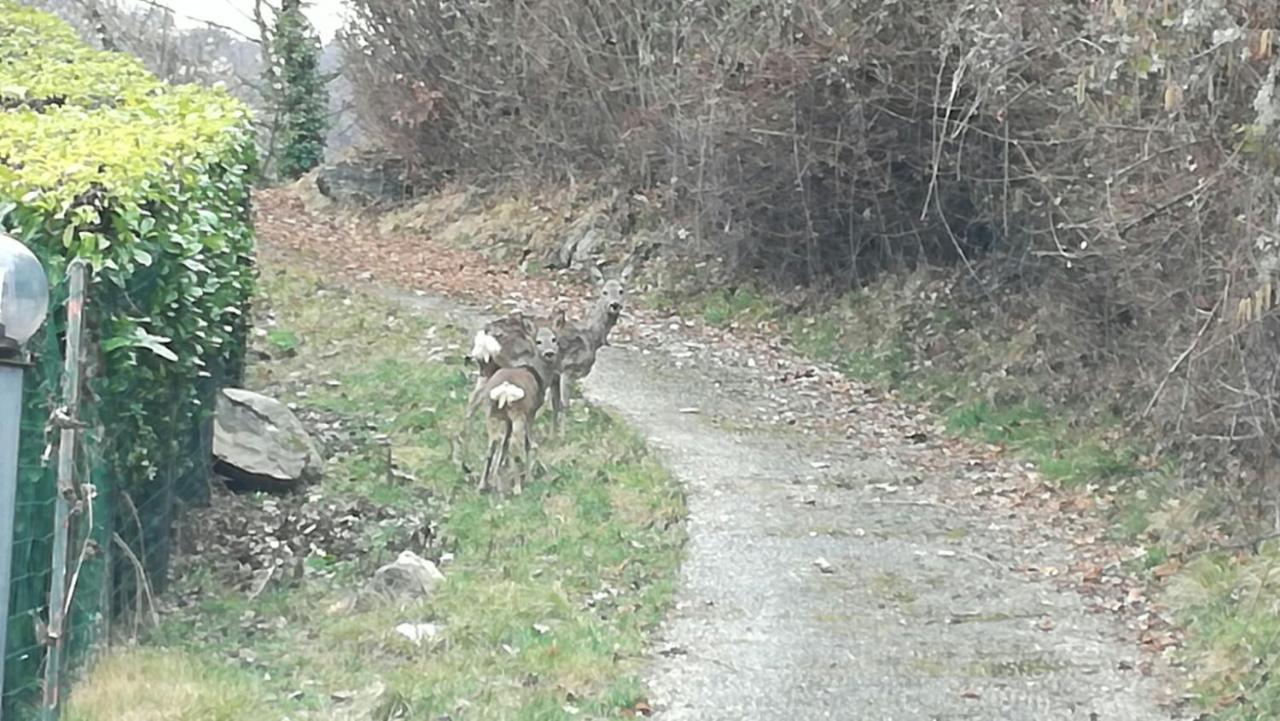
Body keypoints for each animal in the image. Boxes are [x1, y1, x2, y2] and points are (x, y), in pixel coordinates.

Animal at [478, 324, 558, 494]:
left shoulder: (508, 421)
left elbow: (504, 444)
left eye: (554, 339)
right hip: (518, 412)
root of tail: (504, 391)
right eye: (538, 341)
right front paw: (528, 477)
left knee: (492, 445)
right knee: (515, 443)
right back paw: (517, 487)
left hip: (491, 412)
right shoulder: (531, 412)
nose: (549, 353)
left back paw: (483, 485)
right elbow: (527, 443)